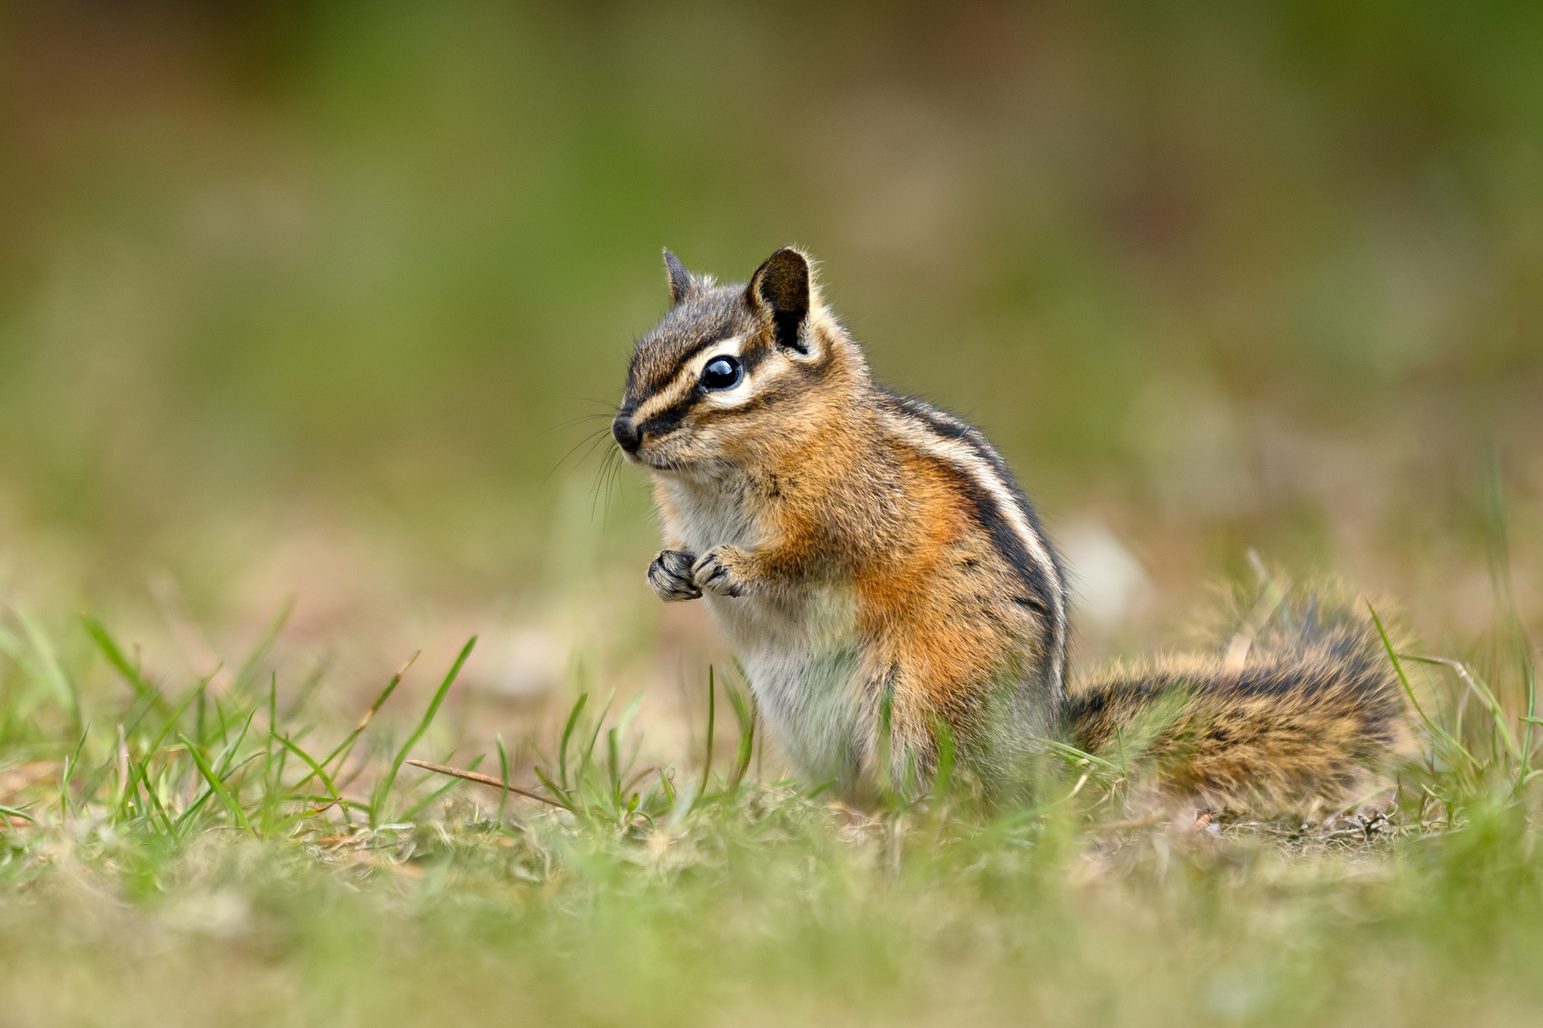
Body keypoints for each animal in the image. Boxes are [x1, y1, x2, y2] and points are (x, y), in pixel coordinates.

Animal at [611, 246, 1407, 812]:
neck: (721, 479)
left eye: (721, 374)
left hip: (920, 700)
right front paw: (666, 571)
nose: (623, 431)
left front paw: (736, 567)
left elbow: (814, 559)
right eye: (637, 357)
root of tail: (1040, 749)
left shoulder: (862, 516)